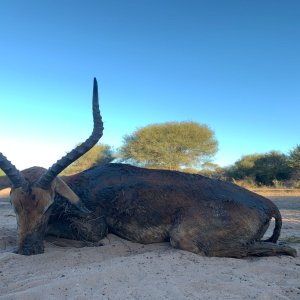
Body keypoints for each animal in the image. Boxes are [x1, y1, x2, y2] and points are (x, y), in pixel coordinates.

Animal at [0, 78, 296, 256]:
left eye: (48, 205)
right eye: (14, 205)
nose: (28, 250)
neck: (80, 187)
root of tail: (267, 203)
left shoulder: (94, 228)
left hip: (185, 237)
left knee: (278, 250)